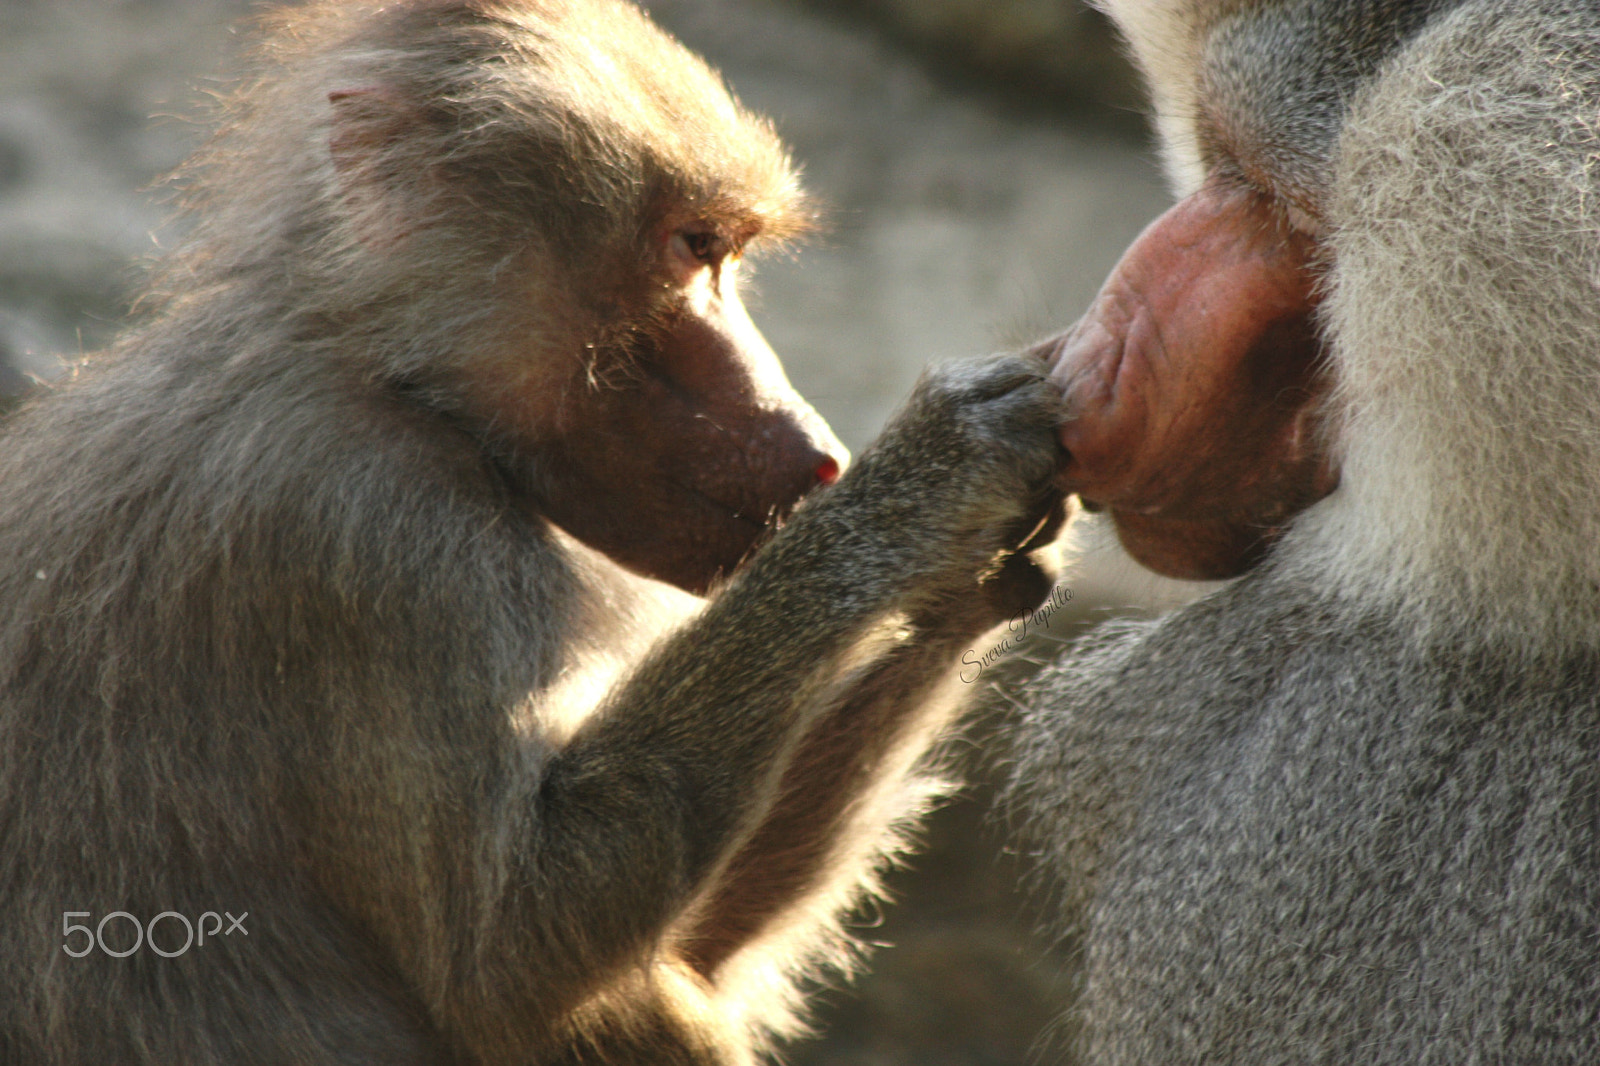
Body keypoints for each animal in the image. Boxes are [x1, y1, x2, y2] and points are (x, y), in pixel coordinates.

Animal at [0, 2, 1068, 1063]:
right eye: (694, 247)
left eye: (727, 253)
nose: (823, 454)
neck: (376, 367)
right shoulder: (372, 532)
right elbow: (511, 959)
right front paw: (927, 480)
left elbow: (680, 958)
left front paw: (970, 574)